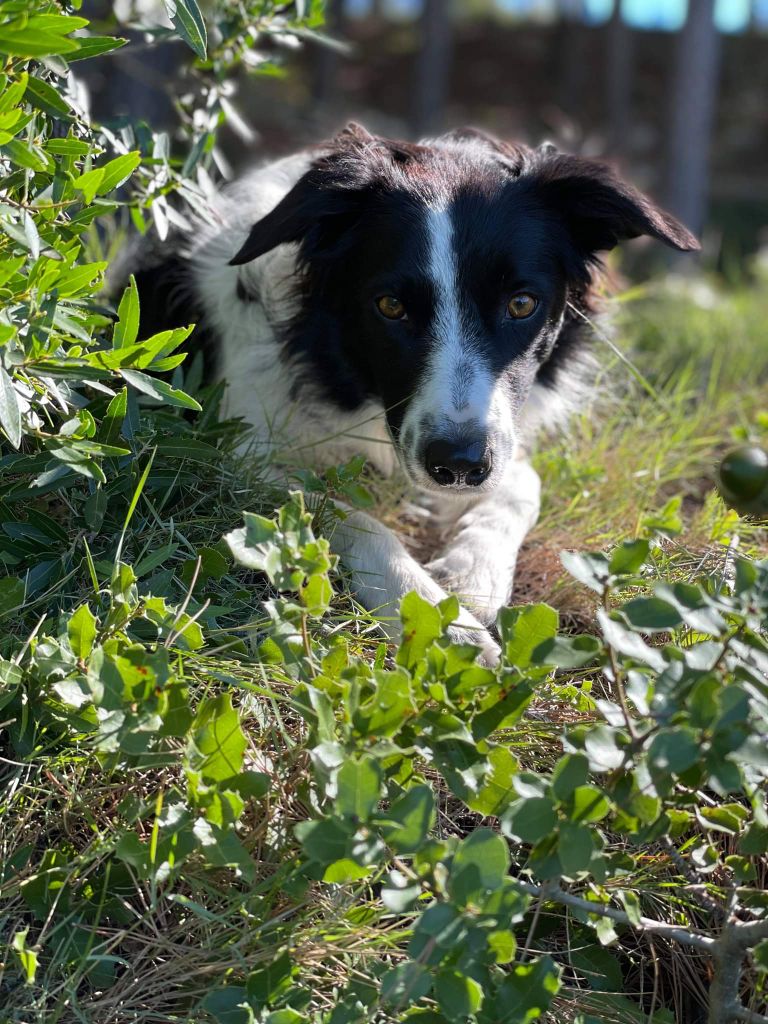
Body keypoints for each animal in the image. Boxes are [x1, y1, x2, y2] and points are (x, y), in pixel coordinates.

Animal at [135, 123, 700, 663]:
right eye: (390, 306)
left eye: (521, 304)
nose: (458, 466)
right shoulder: (237, 462)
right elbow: (345, 515)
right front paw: (441, 622)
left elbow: (522, 484)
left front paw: (474, 571)